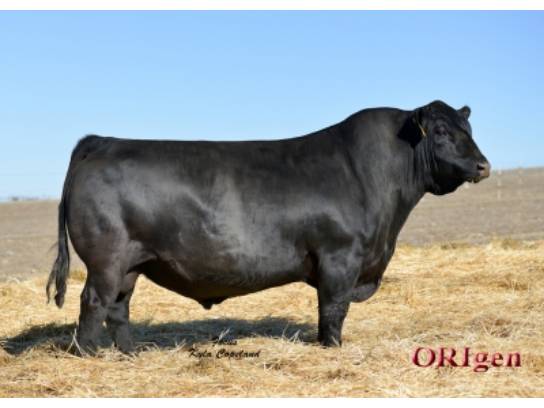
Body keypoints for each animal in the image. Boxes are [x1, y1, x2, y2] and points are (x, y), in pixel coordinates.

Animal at [46, 100, 490, 353]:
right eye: (441, 131)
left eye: (468, 129)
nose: (483, 165)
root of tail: (103, 140)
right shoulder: (340, 258)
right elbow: (333, 310)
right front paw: (332, 349)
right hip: (106, 259)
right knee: (94, 303)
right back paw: (88, 354)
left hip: (133, 263)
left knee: (119, 307)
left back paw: (128, 353)